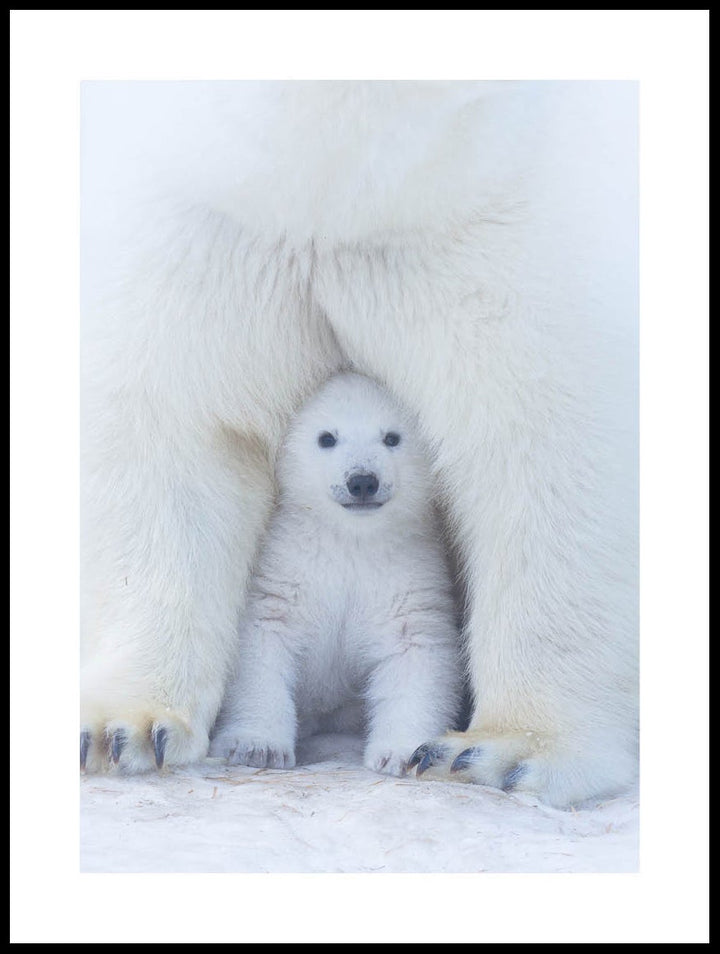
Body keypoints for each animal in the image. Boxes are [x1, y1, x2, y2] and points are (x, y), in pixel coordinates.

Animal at [81, 82, 640, 804]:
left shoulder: (502, 225)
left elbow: (550, 448)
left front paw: (506, 749)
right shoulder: (210, 230)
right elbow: (175, 436)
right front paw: (126, 727)